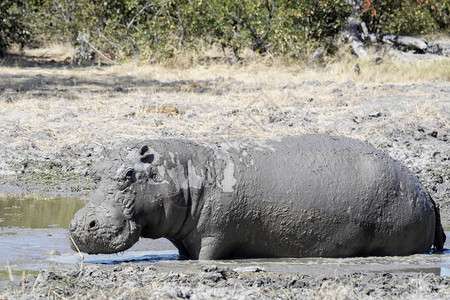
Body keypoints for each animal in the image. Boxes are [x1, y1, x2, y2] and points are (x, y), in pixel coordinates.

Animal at [70, 135, 446, 258]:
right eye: (95, 171)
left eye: (128, 175)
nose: (78, 225)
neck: (187, 174)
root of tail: (427, 193)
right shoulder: (186, 243)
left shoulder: (214, 238)